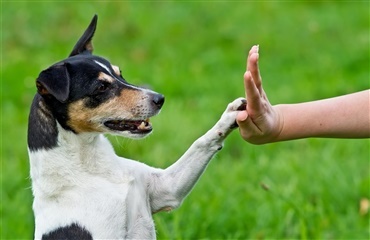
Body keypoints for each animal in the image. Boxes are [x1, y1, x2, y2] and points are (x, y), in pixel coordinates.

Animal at [28, 15, 246, 239]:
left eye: (120, 73)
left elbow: (201, 143)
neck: (91, 168)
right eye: (101, 87)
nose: (160, 99)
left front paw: (231, 115)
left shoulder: (167, 188)